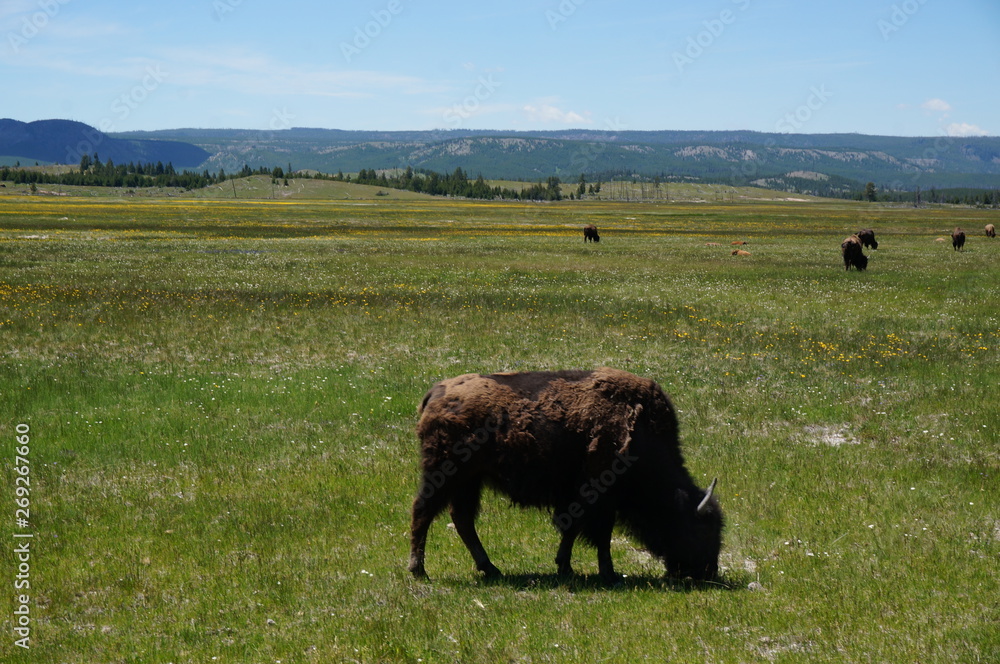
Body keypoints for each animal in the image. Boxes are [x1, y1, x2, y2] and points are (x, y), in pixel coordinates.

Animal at [406, 368, 720, 588]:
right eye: (701, 530)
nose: (709, 572)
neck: (642, 432)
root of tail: (435, 393)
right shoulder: (598, 497)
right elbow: (598, 535)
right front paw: (607, 574)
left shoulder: (582, 498)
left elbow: (574, 531)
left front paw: (566, 567)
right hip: (445, 474)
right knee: (423, 512)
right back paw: (419, 571)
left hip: (470, 480)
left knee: (462, 520)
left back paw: (490, 569)